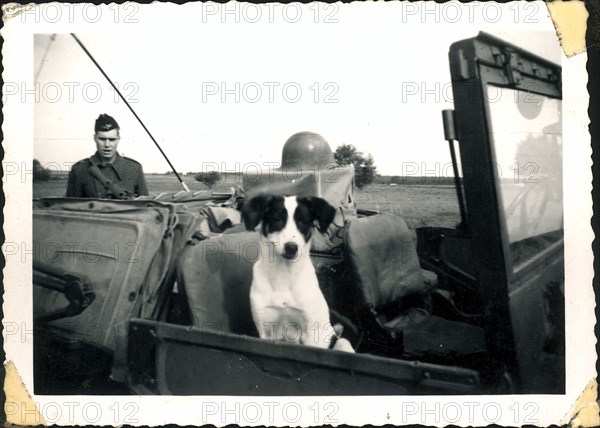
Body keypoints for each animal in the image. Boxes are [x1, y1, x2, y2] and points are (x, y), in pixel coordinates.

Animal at [244, 194, 354, 352]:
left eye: (303, 222)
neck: (284, 275)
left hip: (341, 342)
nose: (291, 247)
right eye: (277, 219)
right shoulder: (265, 329)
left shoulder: (313, 333)